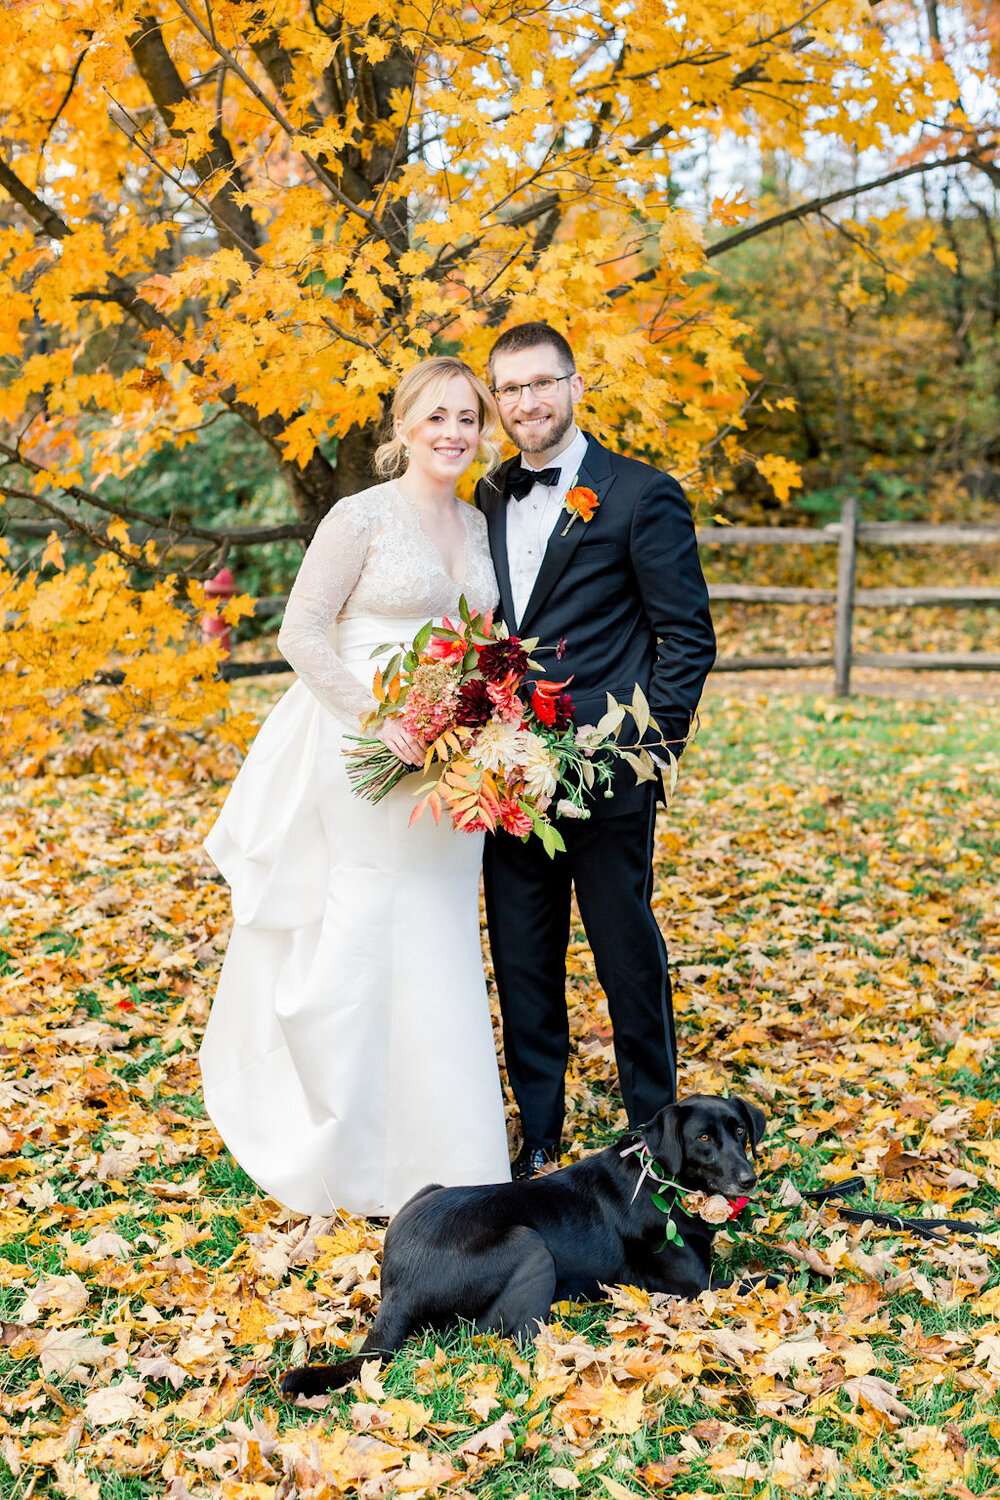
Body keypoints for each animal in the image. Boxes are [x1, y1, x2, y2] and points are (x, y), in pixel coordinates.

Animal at [281, 1092, 767, 1392]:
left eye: (740, 1131)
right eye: (703, 1138)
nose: (750, 1178)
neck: (661, 1179)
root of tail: (396, 1287)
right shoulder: (699, 1286)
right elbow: (766, 1277)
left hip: (429, 1190)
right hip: (529, 1245)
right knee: (508, 1335)